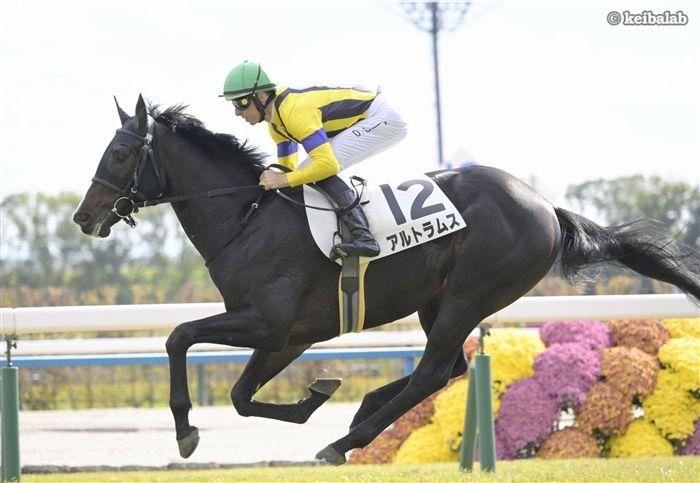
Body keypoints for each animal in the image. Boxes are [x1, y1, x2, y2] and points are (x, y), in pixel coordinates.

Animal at [74, 95, 700, 465]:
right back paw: (363, 412)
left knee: (431, 373)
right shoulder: (288, 337)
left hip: (470, 295)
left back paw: (344, 439)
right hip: (437, 299)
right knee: (450, 369)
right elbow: (240, 396)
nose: (84, 216)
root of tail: (545, 206)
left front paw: (185, 431)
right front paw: (315, 396)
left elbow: (179, 336)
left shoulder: (268, 323)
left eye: (121, 154)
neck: (246, 216)